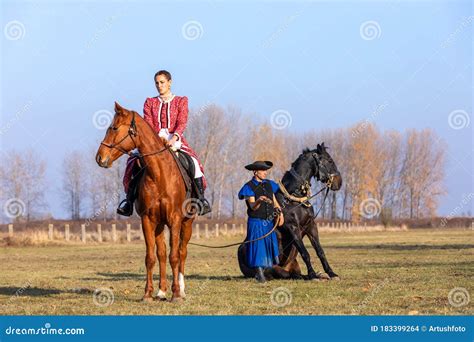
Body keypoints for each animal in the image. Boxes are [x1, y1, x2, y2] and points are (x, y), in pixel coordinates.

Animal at [95, 102, 193, 302]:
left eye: (114, 128)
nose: (99, 158)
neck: (159, 174)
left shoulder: (175, 219)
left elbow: (174, 256)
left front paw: (176, 294)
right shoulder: (148, 220)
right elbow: (151, 257)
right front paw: (148, 293)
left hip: (187, 223)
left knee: (182, 252)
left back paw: (181, 289)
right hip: (159, 224)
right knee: (161, 253)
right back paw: (161, 291)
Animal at [239, 144, 342, 280]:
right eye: (329, 160)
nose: (338, 182)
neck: (293, 199)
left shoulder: (311, 226)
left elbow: (320, 251)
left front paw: (331, 273)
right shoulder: (293, 228)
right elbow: (305, 253)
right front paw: (313, 274)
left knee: (297, 274)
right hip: (276, 270)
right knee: (289, 275)